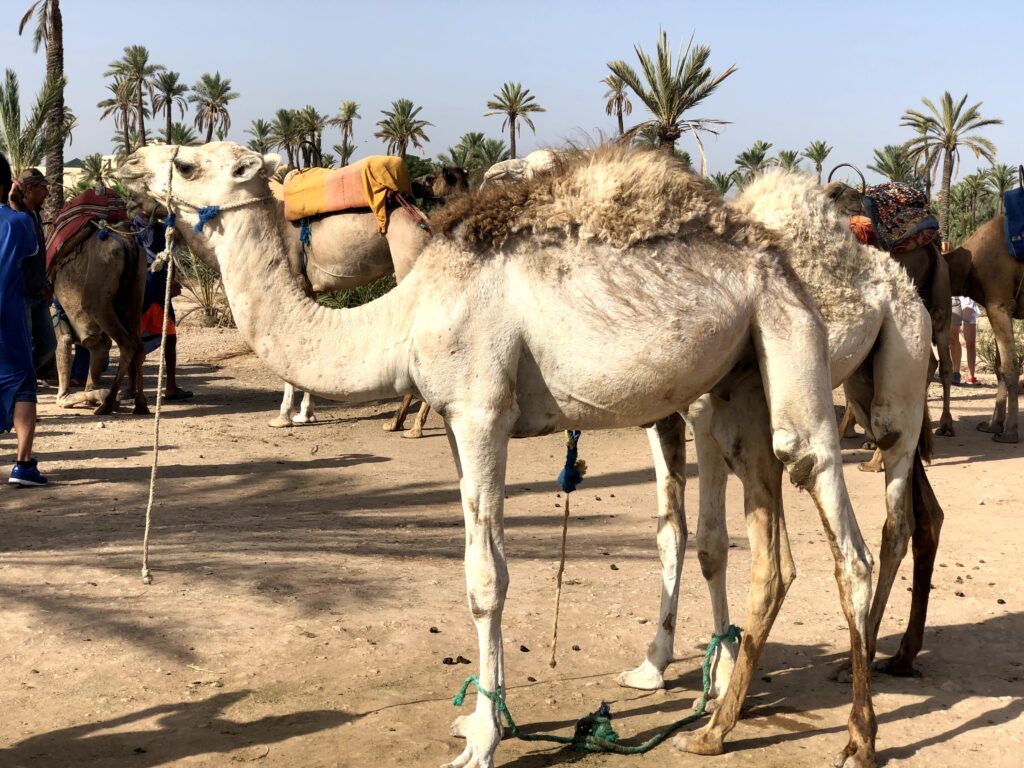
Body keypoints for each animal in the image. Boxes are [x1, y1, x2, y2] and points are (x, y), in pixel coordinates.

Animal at [50, 229, 149, 416]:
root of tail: (127, 244)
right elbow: (98, 346)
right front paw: (92, 394)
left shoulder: (55, 306)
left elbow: (66, 341)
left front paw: (68, 397)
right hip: (136, 292)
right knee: (139, 346)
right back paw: (139, 404)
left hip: (97, 302)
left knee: (127, 344)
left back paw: (108, 403)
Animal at [119, 142, 879, 768]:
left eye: (188, 163)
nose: (124, 162)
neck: (402, 314)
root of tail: (774, 253)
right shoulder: (458, 424)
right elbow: (485, 564)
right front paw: (485, 722)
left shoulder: (482, 410)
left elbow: (486, 580)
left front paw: (483, 741)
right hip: (736, 374)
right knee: (766, 548)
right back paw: (715, 722)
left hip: (786, 336)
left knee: (838, 531)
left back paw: (854, 742)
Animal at [618, 173, 941, 730]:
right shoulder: (663, 417)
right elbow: (669, 532)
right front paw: (652, 666)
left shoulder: (705, 413)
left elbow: (711, 545)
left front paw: (723, 678)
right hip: (861, 381)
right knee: (922, 511)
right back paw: (894, 655)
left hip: (905, 354)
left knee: (895, 510)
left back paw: (862, 658)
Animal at [946, 215, 1024, 442]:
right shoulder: (994, 306)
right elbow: (999, 367)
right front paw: (992, 425)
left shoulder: (999, 303)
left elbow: (1010, 365)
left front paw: (1009, 432)